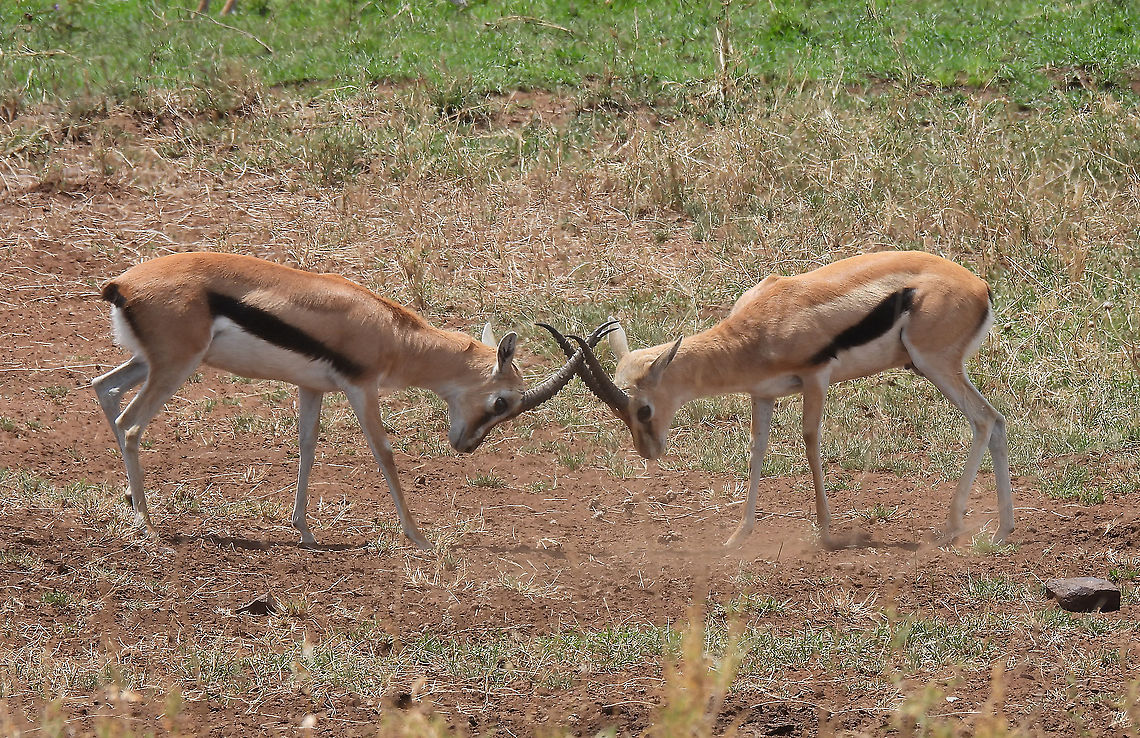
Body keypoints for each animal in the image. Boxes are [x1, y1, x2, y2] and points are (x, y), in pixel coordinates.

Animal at [92, 252, 589, 549]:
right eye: (503, 403)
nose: (467, 445)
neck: (392, 333)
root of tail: (121, 285)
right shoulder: (361, 388)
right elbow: (384, 452)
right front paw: (417, 536)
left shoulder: (311, 388)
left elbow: (307, 447)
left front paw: (305, 531)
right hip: (176, 366)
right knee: (132, 424)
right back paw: (148, 525)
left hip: (150, 362)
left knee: (105, 389)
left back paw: (132, 503)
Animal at [549, 251, 1013, 549]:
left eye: (643, 408)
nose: (649, 451)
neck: (756, 332)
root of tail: (981, 287)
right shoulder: (763, 395)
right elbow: (757, 450)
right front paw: (739, 535)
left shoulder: (815, 378)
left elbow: (810, 441)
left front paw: (827, 532)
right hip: (936, 368)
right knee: (997, 421)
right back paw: (1001, 529)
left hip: (934, 365)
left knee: (984, 419)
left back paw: (954, 526)